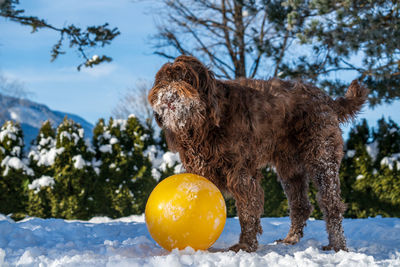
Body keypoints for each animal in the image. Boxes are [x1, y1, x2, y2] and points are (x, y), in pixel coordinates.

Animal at [148, 55, 368, 253]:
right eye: (165, 80)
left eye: (187, 78)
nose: (169, 96)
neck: (204, 124)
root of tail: (327, 99)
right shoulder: (200, 169)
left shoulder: (241, 173)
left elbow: (247, 210)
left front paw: (245, 245)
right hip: (290, 169)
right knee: (300, 205)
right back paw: (290, 239)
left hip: (321, 157)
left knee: (331, 204)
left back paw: (337, 245)